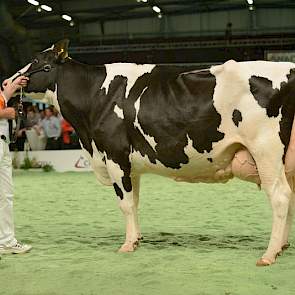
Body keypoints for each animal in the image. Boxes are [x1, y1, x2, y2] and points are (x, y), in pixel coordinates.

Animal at [8, 38, 295, 268]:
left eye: (37, 61)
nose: (7, 82)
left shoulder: (114, 155)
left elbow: (124, 203)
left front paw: (127, 245)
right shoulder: (130, 166)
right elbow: (134, 202)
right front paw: (137, 239)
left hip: (265, 150)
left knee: (280, 196)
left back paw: (268, 255)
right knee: (289, 197)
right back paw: (281, 246)